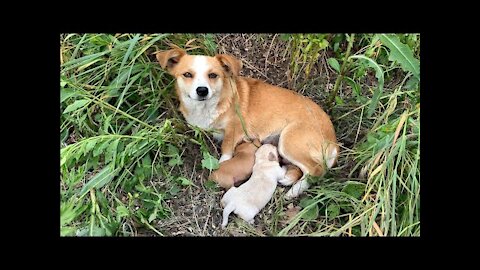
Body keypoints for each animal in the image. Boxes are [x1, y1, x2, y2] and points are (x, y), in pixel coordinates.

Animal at [156, 48, 340, 198]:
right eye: (187, 74)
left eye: (213, 75)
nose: (202, 90)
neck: (208, 106)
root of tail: (333, 138)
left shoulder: (233, 131)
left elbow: (226, 150)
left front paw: (222, 166)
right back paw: (288, 179)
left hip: (288, 141)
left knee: (316, 170)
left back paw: (295, 190)